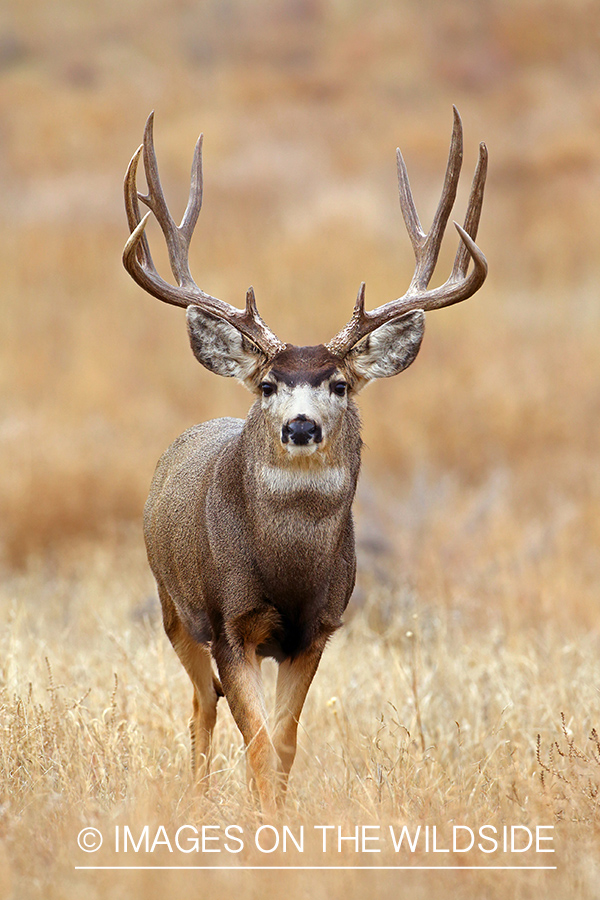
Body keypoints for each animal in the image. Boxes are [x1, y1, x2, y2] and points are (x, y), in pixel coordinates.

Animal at [122, 108, 487, 814]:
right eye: (268, 384)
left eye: (339, 384)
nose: (299, 424)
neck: (288, 569)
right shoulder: (230, 621)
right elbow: (259, 739)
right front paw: (260, 824)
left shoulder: (318, 627)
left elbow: (285, 742)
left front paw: (278, 816)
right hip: (172, 606)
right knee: (200, 706)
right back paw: (197, 801)